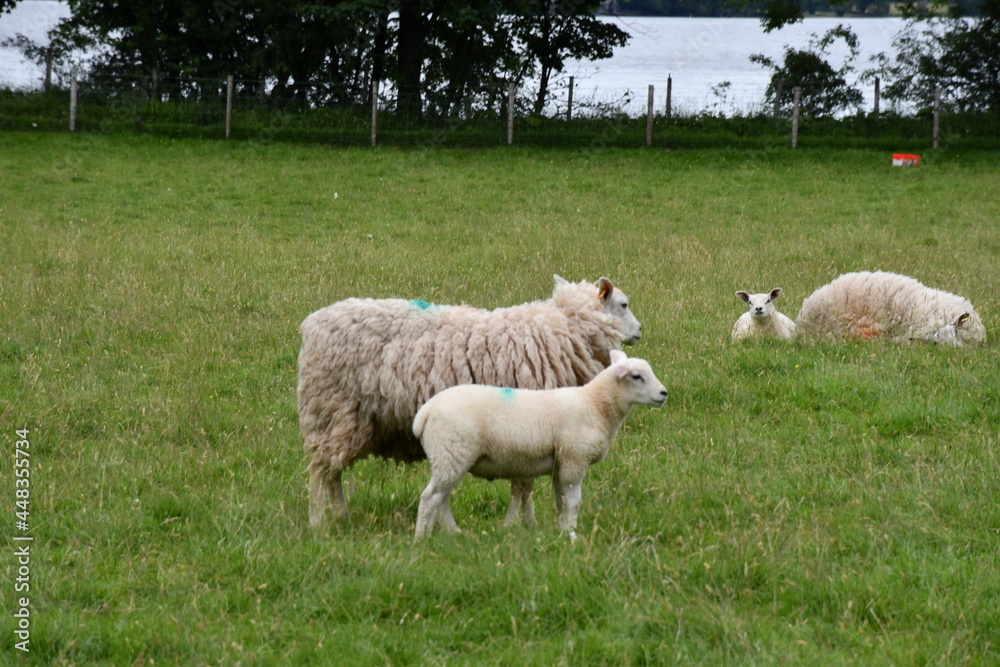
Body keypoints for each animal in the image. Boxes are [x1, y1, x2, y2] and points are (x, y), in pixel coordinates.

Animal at [297, 275, 643, 529]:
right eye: (624, 304)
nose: (640, 331)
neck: (563, 330)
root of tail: (312, 323)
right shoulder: (527, 426)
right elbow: (523, 484)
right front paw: (518, 525)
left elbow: (524, 483)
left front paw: (525, 524)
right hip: (334, 408)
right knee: (320, 471)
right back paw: (317, 521)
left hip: (343, 418)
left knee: (333, 472)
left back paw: (341, 516)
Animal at [411, 350, 667, 541]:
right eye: (637, 376)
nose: (664, 393)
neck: (595, 405)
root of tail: (426, 411)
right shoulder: (575, 458)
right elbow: (573, 501)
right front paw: (572, 532)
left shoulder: (560, 462)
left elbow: (560, 499)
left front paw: (562, 527)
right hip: (451, 453)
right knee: (429, 498)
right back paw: (421, 538)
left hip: (450, 459)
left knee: (441, 499)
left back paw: (452, 532)